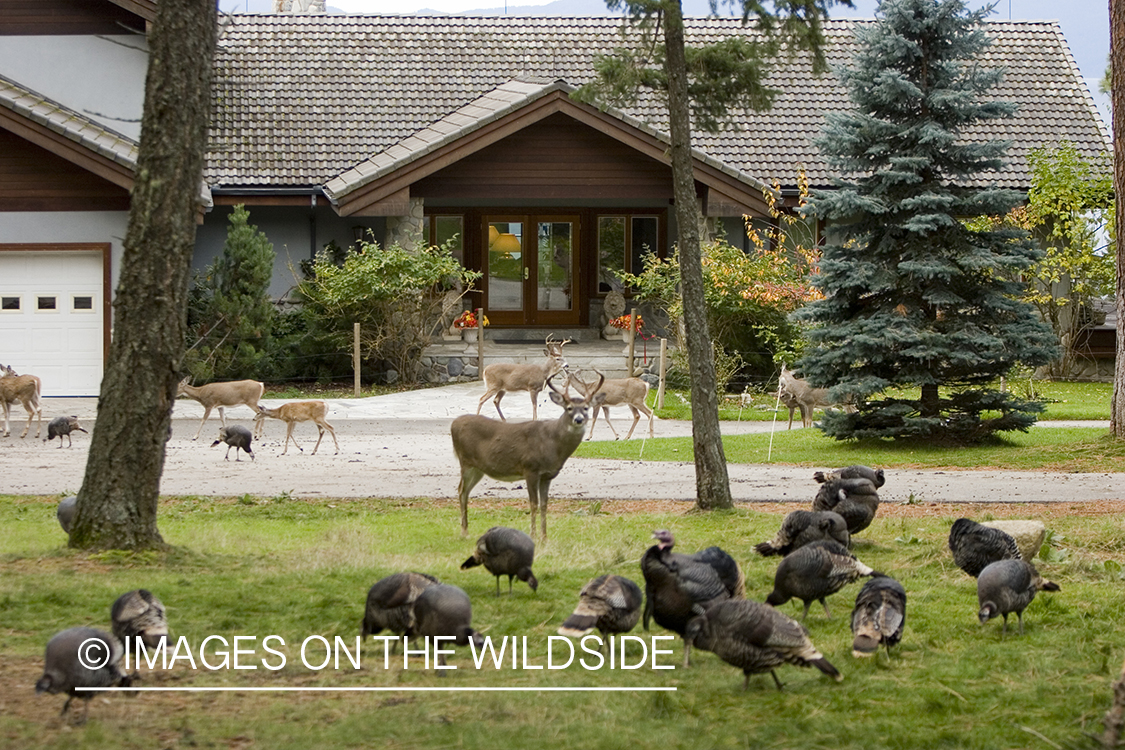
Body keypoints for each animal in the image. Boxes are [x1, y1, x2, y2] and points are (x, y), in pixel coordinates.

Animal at [450, 373, 603, 539]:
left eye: (586, 408)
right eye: (569, 408)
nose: (579, 419)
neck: (552, 444)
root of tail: (453, 424)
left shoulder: (547, 475)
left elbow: (544, 504)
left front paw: (544, 537)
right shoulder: (530, 469)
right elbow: (533, 503)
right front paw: (533, 535)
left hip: (478, 468)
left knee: (465, 491)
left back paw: (465, 530)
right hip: (466, 461)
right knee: (461, 490)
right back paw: (464, 532)